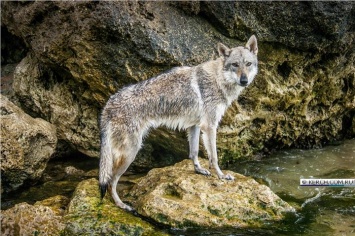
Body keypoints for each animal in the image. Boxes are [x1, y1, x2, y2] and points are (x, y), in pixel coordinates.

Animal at [99, 34, 258, 210]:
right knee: (111, 181)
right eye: (235, 65)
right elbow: (214, 157)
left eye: (248, 64)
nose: (244, 80)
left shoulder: (195, 126)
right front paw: (221, 176)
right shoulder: (210, 127)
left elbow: (194, 152)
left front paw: (199, 170)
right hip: (130, 153)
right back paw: (121, 204)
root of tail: (108, 105)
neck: (219, 79)